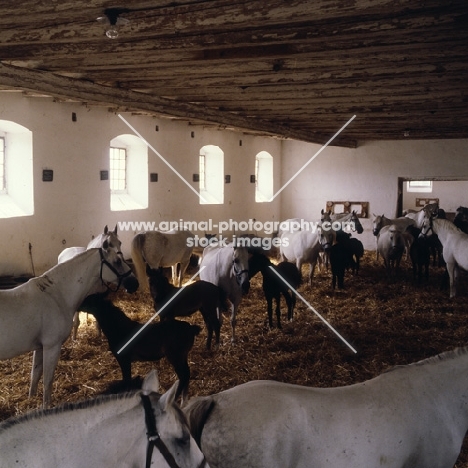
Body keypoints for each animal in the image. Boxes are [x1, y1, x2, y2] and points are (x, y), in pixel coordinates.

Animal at [0, 245, 138, 406]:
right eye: (117, 261)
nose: (135, 283)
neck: (56, 296)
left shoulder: (40, 347)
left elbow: (35, 375)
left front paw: (31, 399)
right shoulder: (52, 346)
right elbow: (47, 381)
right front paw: (46, 406)